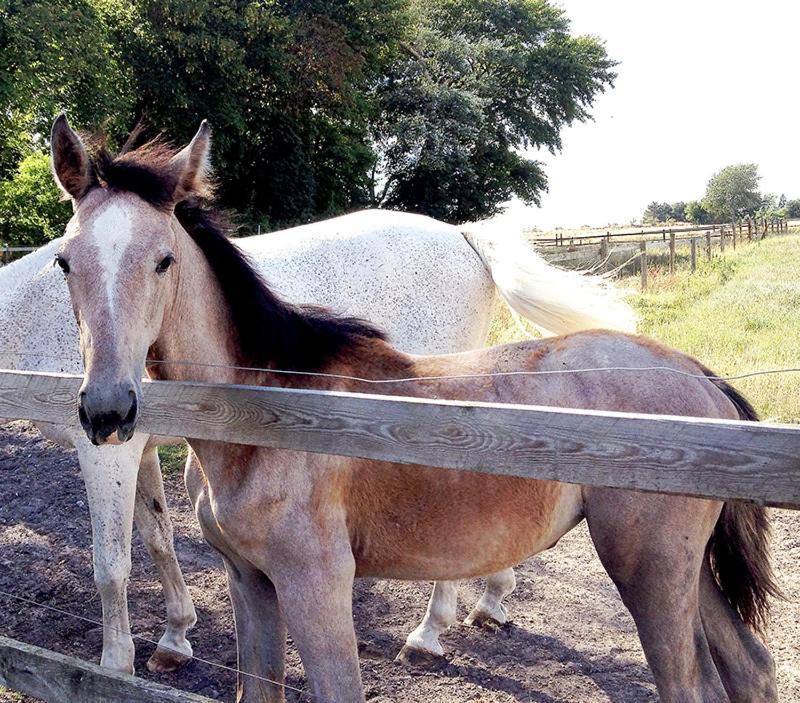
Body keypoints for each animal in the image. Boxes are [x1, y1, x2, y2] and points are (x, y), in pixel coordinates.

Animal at [1, 202, 636, 672]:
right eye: (66, 263)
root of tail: (461, 236)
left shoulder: (106, 451)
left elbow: (111, 566)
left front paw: (116, 664)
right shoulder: (139, 447)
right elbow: (158, 541)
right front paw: (174, 640)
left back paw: (428, 633)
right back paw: (492, 600)